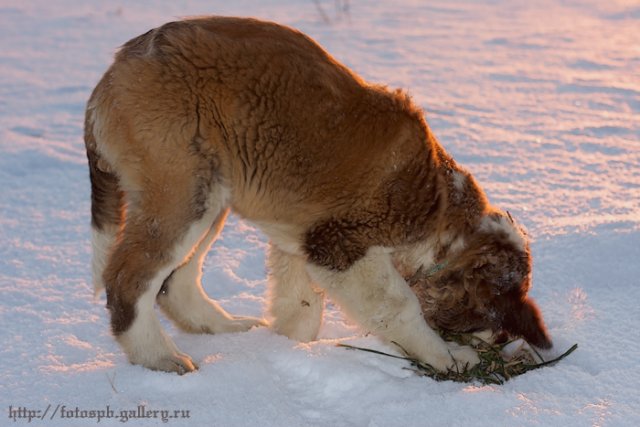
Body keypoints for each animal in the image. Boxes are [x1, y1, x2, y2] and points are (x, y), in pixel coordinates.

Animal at [84, 15, 552, 374]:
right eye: (478, 321)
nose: (499, 344)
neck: (440, 208)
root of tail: (113, 72)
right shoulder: (343, 245)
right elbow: (398, 304)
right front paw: (449, 358)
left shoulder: (303, 239)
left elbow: (303, 306)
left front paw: (288, 344)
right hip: (184, 189)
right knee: (129, 277)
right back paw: (159, 359)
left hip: (213, 190)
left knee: (175, 280)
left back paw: (225, 328)